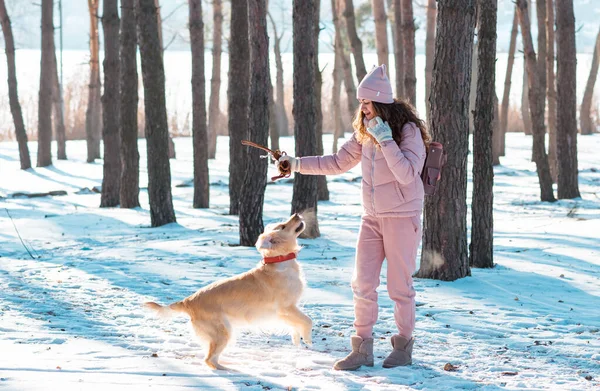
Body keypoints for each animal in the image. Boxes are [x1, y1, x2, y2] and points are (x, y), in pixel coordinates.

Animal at [146, 214, 314, 370]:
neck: (280, 260)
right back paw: (227, 369)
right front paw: (307, 339)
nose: (297, 214)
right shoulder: (287, 307)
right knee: (209, 360)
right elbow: (308, 320)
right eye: (283, 226)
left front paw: (296, 339)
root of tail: (188, 301)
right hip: (222, 332)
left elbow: (296, 325)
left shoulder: (283, 312)